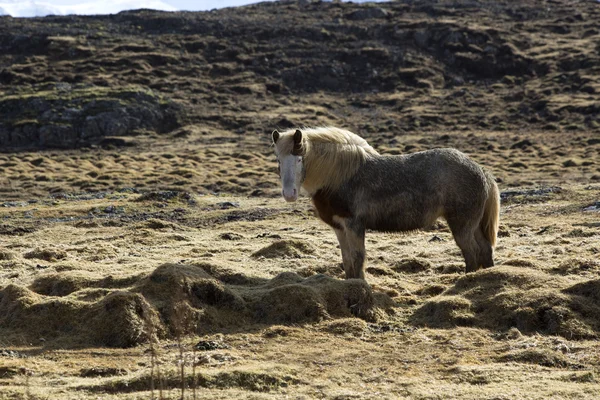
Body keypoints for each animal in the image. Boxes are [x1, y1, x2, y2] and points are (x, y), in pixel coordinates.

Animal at [270, 126, 500, 280]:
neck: (337, 177)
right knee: (485, 250)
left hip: (461, 225)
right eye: (279, 160)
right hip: (474, 225)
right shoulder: (339, 227)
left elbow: (358, 258)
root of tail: (482, 171)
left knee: (471, 253)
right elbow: (347, 260)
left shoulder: (354, 225)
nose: (289, 194)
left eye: (299, 159)